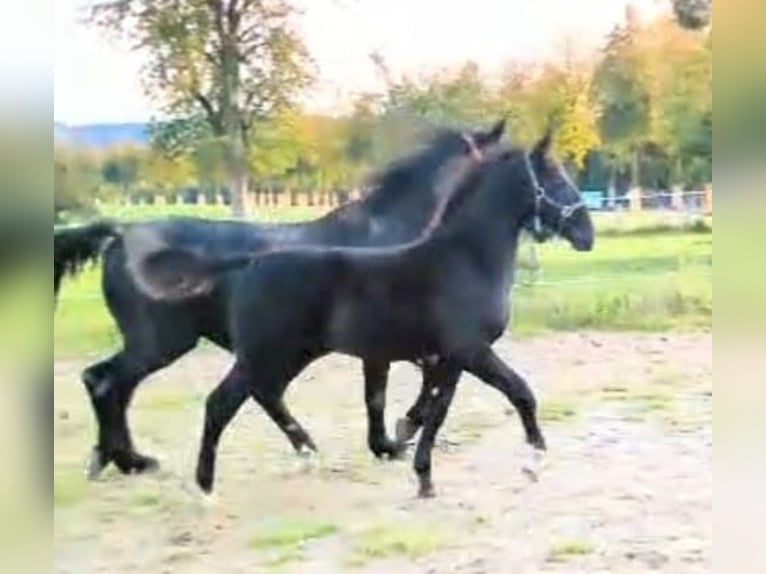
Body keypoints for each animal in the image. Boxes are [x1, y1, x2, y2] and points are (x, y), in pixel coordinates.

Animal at [54, 121, 510, 482]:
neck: (391, 234)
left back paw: (118, 459)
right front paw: (392, 441)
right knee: (108, 382)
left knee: (118, 385)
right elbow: (382, 394)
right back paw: (129, 460)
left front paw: (395, 437)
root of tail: (120, 234)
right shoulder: (386, 344)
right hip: (164, 342)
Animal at [126, 132, 596, 500]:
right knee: (221, 403)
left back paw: (302, 454)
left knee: (262, 394)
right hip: (265, 354)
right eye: (555, 178)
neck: (465, 260)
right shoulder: (470, 350)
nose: (586, 234)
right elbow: (519, 393)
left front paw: (420, 473)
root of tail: (247, 264)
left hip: (288, 355)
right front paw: (533, 462)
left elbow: (434, 411)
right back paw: (206, 488)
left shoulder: (449, 359)